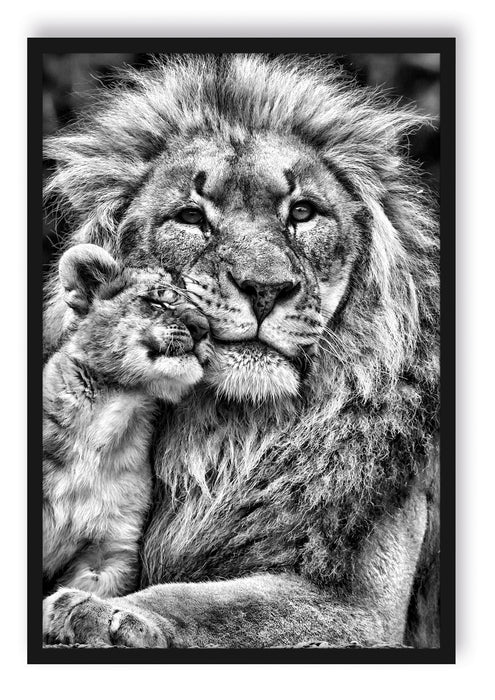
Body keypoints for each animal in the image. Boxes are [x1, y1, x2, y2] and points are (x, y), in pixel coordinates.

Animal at [42, 54, 439, 649]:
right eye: (190, 217)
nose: (265, 288)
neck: (228, 437)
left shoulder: (363, 612)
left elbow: (209, 602)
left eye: (302, 212)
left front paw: (105, 612)